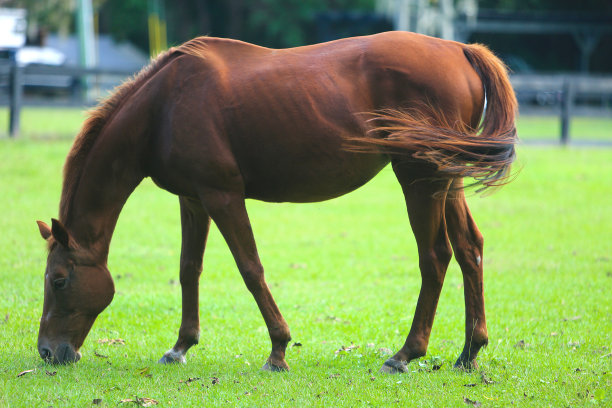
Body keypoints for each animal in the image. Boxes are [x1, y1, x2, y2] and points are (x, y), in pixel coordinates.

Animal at [35, 31, 516, 372]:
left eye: (58, 280)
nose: (47, 352)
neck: (163, 107)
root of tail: (459, 49)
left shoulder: (223, 197)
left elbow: (251, 269)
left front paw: (279, 349)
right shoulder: (193, 200)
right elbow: (189, 270)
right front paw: (181, 346)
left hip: (419, 178)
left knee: (435, 257)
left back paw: (405, 353)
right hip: (445, 180)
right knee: (470, 249)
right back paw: (469, 352)